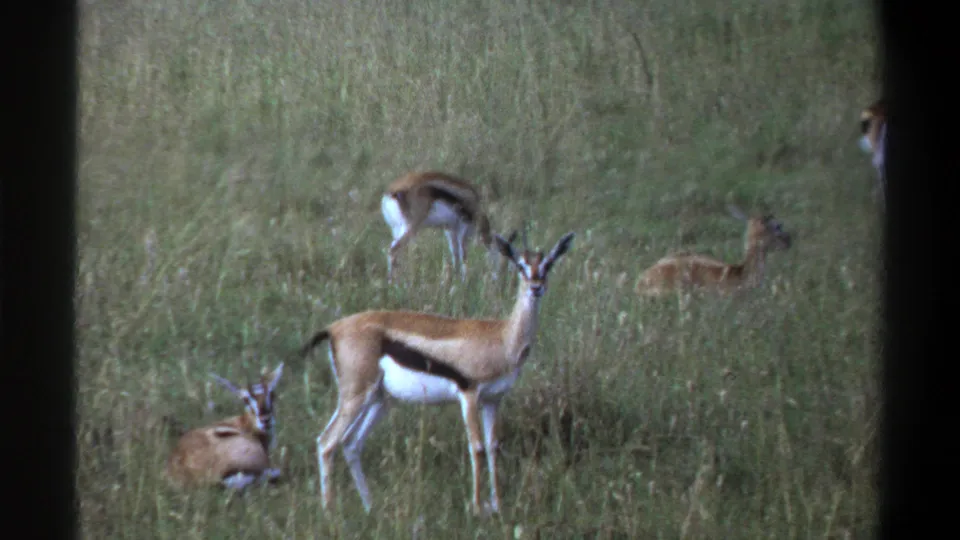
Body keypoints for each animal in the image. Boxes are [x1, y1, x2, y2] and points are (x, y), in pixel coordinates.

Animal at [300, 229, 575, 515]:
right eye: (520, 265)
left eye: (548, 264)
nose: (536, 287)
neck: (502, 338)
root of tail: (334, 328)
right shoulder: (469, 394)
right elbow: (477, 448)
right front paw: (478, 508)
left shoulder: (493, 400)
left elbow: (493, 448)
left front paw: (497, 505)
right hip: (355, 396)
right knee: (326, 442)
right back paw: (330, 512)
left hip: (380, 401)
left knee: (351, 444)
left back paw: (370, 507)